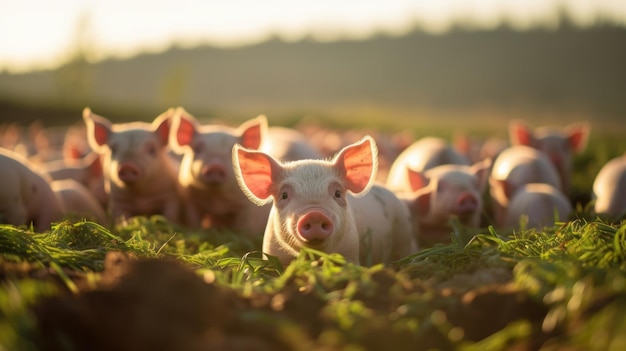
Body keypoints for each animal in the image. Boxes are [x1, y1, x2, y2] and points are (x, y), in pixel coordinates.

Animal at [168, 108, 320, 235]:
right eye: (198, 148)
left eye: (232, 151)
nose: (215, 166)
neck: (217, 201)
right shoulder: (191, 199)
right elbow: (194, 220)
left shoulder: (246, 208)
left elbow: (242, 226)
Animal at [232, 135, 412, 266]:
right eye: (284, 195)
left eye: (337, 193)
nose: (314, 214)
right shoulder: (272, 249)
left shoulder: (351, 251)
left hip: (404, 233)